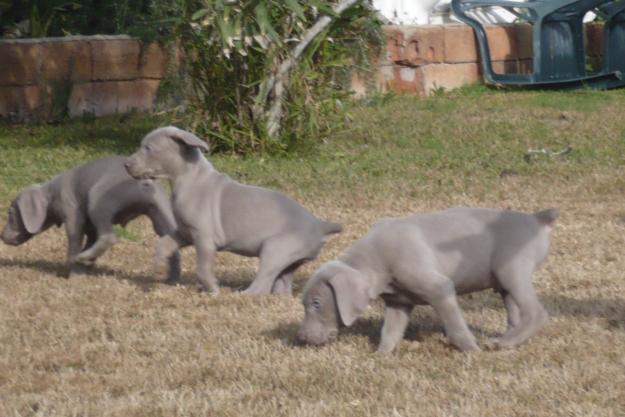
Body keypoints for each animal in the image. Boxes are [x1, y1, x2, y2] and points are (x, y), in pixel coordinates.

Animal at [0, 154, 180, 278]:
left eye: (11, 214)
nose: (1, 236)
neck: (51, 192)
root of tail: (144, 181)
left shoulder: (72, 213)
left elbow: (74, 242)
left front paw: (73, 272)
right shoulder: (90, 227)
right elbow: (90, 240)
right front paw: (85, 266)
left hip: (98, 198)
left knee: (109, 237)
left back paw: (82, 257)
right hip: (160, 208)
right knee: (171, 240)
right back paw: (171, 279)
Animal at [123, 125, 342, 294]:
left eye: (148, 148)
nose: (126, 164)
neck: (189, 179)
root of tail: (320, 224)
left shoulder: (204, 239)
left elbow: (202, 267)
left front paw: (213, 289)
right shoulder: (185, 233)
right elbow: (164, 242)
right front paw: (160, 269)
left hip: (276, 249)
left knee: (262, 285)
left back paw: (241, 295)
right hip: (290, 260)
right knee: (281, 284)